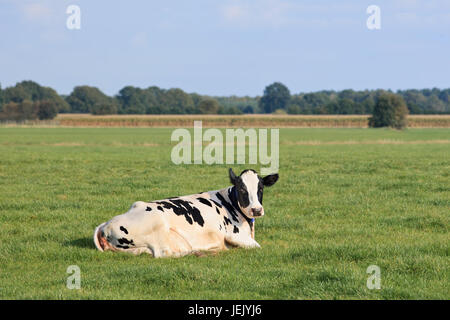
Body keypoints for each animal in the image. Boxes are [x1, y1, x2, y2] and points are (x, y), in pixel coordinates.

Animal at [93, 168, 280, 258]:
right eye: (242, 189)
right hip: (158, 224)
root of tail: (106, 225)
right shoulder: (232, 234)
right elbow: (257, 246)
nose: (256, 209)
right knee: (164, 254)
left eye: (261, 188)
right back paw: (199, 252)